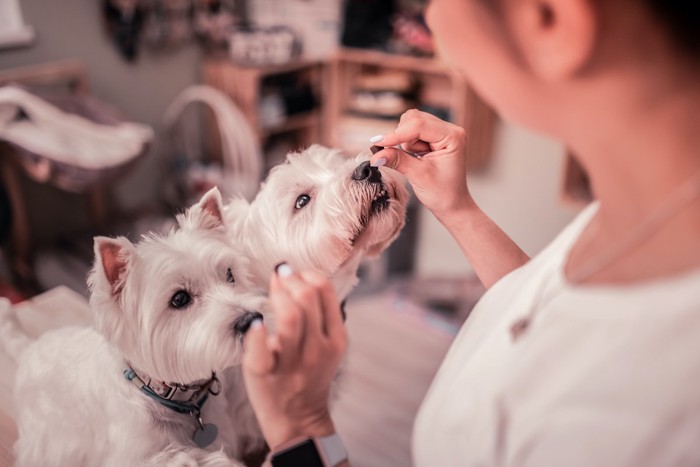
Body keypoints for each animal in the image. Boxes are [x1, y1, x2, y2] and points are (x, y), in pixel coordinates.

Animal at [3, 188, 266, 466]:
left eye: (230, 274)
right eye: (180, 299)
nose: (251, 320)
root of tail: (28, 347)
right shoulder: (133, 453)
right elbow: (186, 458)